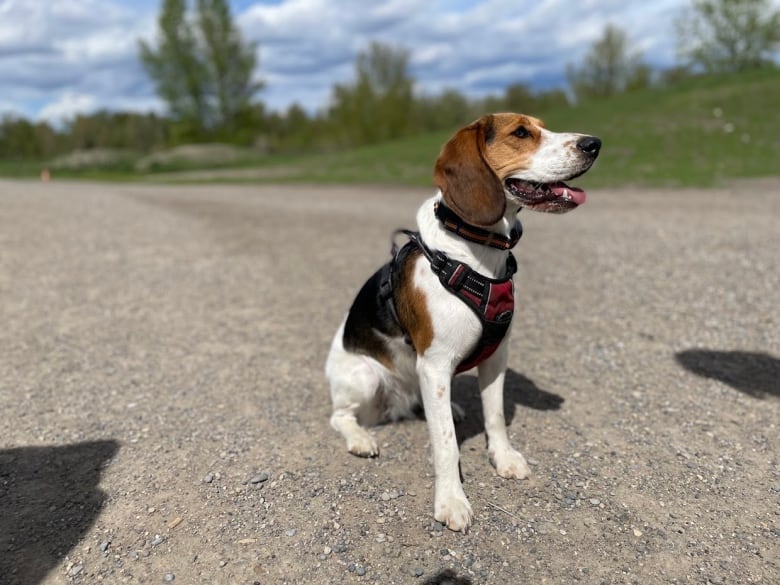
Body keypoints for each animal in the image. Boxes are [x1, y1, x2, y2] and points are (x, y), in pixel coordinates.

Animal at [326, 112, 600, 532]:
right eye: (521, 132)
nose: (594, 144)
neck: (475, 254)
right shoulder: (435, 365)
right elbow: (445, 443)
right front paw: (451, 500)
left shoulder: (496, 357)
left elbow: (496, 416)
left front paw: (503, 458)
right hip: (365, 378)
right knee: (340, 416)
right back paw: (360, 438)